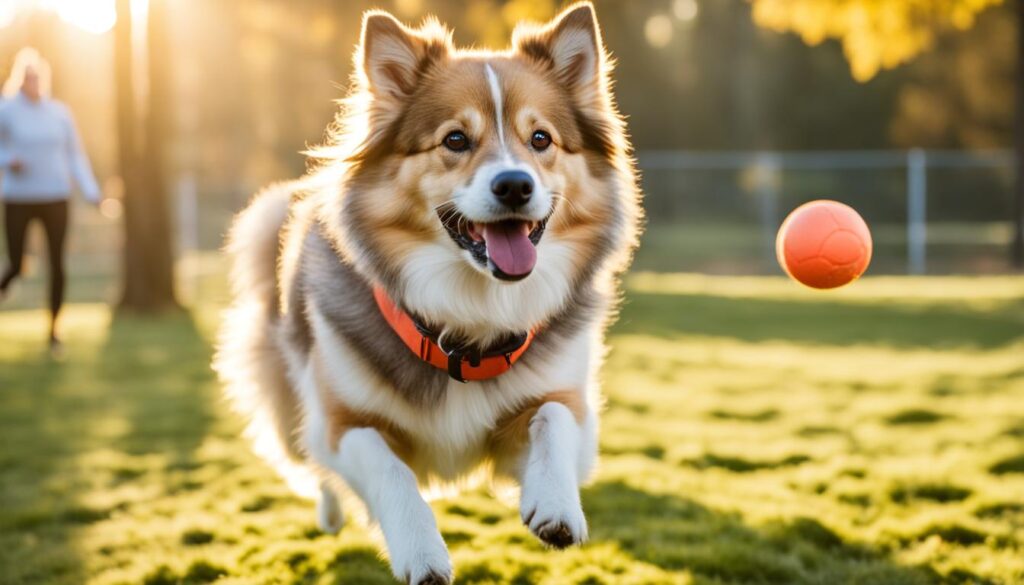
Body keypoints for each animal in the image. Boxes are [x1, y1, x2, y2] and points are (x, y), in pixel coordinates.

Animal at [214, 2, 638, 581]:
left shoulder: (559, 404)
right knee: (309, 460)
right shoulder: (343, 425)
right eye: (455, 139)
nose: (515, 185)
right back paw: (329, 514)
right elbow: (386, 468)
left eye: (541, 139)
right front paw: (422, 551)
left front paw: (555, 506)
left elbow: (553, 420)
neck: (466, 319)